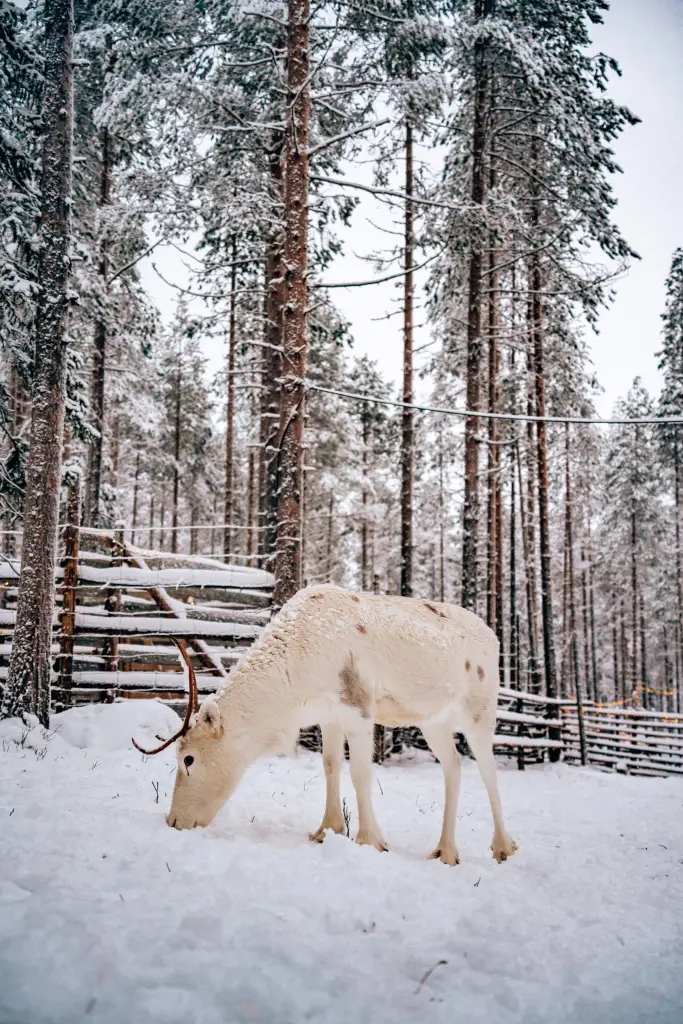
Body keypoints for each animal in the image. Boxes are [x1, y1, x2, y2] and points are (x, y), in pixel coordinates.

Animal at [133, 585, 518, 865]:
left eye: (189, 759)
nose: (174, 821)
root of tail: (494, 636)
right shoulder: (328, 714)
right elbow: (331, 765)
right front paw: (326, 830)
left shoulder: (358, 706)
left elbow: (360, 772)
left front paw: (370, 841)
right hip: (433, 720)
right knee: (453, 765)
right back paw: (446, 851)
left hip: (480, 709)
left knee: (488, 768)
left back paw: (503, 847)